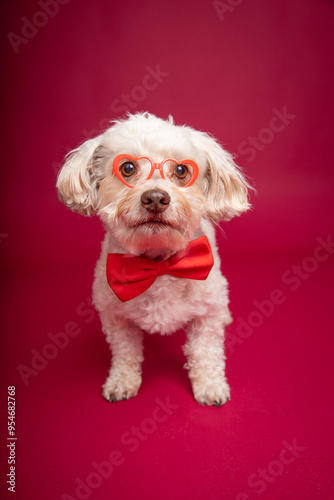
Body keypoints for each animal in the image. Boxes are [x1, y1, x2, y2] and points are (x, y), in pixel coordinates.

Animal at [56, 113, 250, 406]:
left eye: (181, 171)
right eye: (127, 168)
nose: (156, 198)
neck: (158, 264)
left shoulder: (206, 316)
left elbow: (205, 353)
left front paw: (210, 385)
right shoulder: (116, 317)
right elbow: (125, 352)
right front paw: (122, 382)